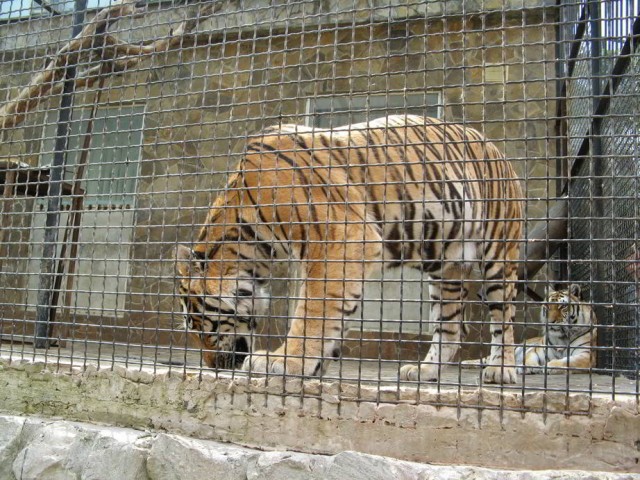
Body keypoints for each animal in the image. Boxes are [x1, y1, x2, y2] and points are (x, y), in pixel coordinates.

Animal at [175, 114, 524, 384]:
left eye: (202, 325)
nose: (213, 366)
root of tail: (494, 145)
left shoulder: (341, 238)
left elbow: (312, 310)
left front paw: (285, 361)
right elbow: (329, 313)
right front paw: (315, 364)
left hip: (498, 253)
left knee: (504, 319)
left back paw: (501, 370)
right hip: (445, 266)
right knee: (450, 327)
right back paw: (425, 371)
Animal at [462, 284, 597, 374]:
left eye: (562, 306)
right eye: (548, 307)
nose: (549, 321)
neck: (562, 337)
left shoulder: (586, 355)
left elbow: (568, 361)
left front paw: (551, 366)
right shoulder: (538, 350)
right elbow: (529, 357)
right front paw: (529, 366)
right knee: (486, 359)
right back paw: (465, 363)